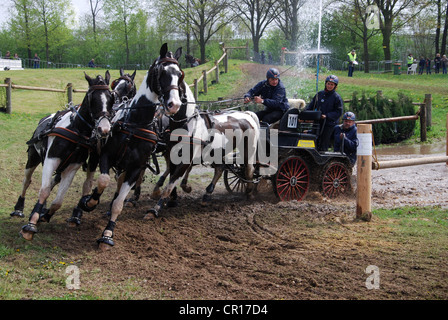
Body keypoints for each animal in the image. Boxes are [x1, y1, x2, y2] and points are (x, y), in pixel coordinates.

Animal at [19, 70, 114, 240]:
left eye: (111, 98)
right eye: (92, 98)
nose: (104, 129)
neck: (76, 130)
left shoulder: (71, 168)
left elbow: (58, 201)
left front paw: (44, 215)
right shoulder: (51, 160)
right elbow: (44, 190)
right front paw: (31, 224)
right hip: (32, 158)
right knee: (27, 181)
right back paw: (18, 209)